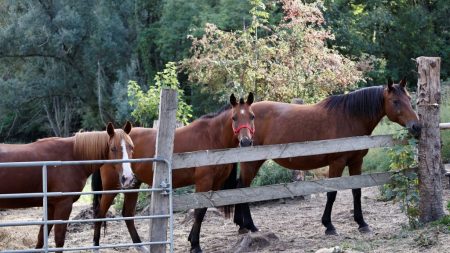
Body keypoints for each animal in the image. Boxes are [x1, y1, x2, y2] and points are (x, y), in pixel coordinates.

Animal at [0, 122, 134, 251]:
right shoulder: (63, 204)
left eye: (131, 147)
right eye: (113, 148)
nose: (128, 178)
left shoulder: (50, 205)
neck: (73, 156)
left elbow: (41, 238)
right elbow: (59, 240)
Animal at [92, 93, 253, 253]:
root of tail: (109, 140)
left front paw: (191, 240)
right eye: (234, 117)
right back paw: (96, 246)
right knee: (100, 214)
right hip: (111, 187)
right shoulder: (204, 182)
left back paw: (141, 246)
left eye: (252, 116)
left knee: (127, 214)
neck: (211, 137)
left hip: (133, 184)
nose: (246, 142)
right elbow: (199, 212)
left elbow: (203, 210)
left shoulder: (215, 183)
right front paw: (195, 245)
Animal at [236, 78, 422, 235]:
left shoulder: (356, 162)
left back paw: (241, 225)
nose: (417, 126)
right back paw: (250, 226)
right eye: (395, 101)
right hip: (251, 162)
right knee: (243, 189)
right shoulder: (337, 163)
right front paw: (329, 225)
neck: (349, 117)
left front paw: (362, 223)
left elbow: (357, 191)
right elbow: (332, 193)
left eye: (409, 98)